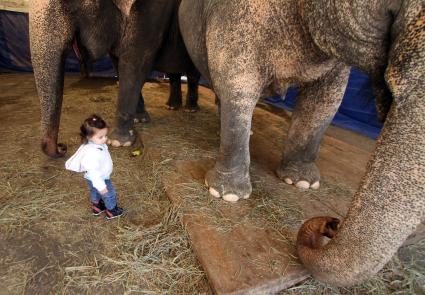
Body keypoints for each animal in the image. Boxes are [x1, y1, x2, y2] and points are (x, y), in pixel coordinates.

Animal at [29, 0, 195, 158]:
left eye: (69, 4)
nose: (62, 147)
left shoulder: (153, 11)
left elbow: (135, 61)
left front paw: (117, 142)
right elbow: (117, 61)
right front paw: (139, 120)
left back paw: (190, 109)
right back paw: (172, 106)